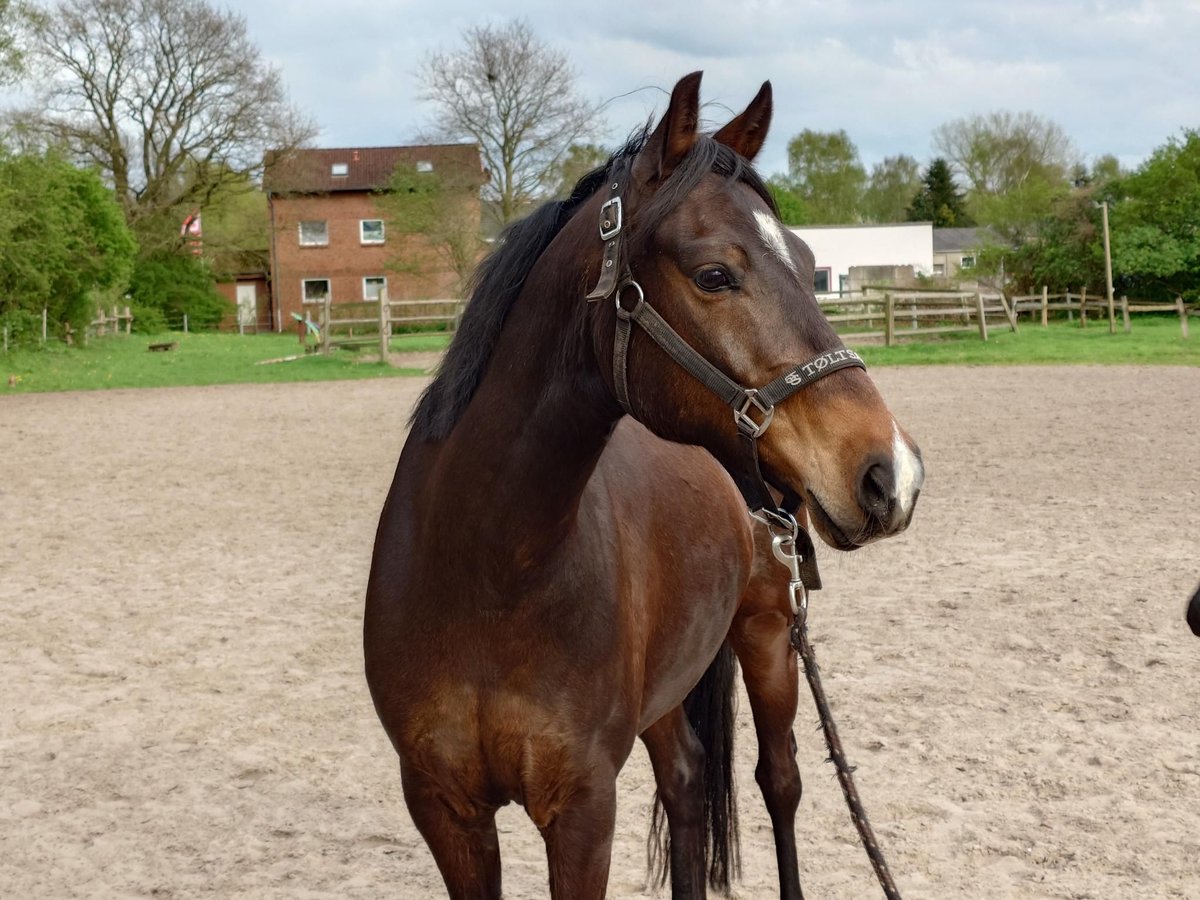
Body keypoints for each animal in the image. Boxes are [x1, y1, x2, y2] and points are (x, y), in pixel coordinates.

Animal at [360, 72, 921, 900]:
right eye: (714, 273)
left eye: (809, 259)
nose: (891, 471)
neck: (488, 571)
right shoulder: (444, 807)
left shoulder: (583, 806)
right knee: (687, 783)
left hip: (768, 636)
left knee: (780, 781)